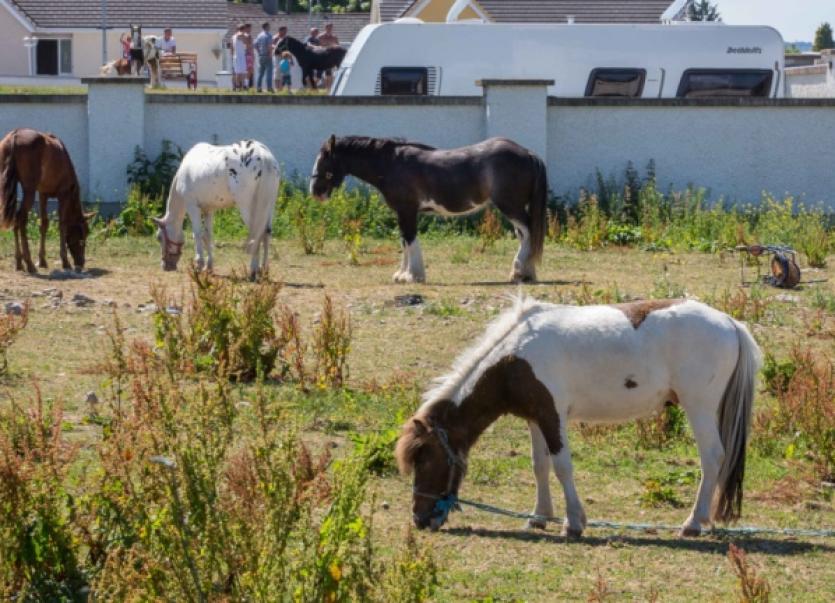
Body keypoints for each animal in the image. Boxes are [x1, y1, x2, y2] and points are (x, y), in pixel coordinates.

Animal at [0, 129, 91, 273]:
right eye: (84, 234)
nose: (81, 263)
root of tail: (15, 134)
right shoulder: (63, 195)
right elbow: (62, 224)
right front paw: (65, 261)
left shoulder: (43, 194)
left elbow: (44, 224)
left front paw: (42, 260)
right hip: (29, 190)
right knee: (21, 219)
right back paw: (29, 263)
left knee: (16, 219)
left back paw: (19, 262)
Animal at [153, 140, 279, 280]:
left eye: (159, 238)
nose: (166, 266)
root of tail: (264, 156)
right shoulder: (209, 209)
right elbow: (208, 236)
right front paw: (209, 267)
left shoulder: (192, 207)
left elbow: (197, 234)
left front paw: (199, 265)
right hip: (269, 206)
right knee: (266, 233)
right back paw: (264, 270)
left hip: (248, 207)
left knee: (256, 234)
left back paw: (253, 271)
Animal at [309, 135, 548, 283]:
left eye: (324, 160)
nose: (315, 191)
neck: (391, 164)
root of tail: (528, 153)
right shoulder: (402, 213)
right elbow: (404, 242)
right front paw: (401, 274)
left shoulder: (407, 211)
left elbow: (410, 240)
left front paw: (412, 276)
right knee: (525, 235)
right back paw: (526, 274)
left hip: (510, 206)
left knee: (528, 232)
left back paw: (519, 272)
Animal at [395, 297, 762, 538]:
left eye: (425, 459)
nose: (420, 520)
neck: (515, 358)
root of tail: (730, 323)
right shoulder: (535, 417)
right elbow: (539, 466)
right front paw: (539, 516)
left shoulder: (553, 416)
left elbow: (562, 467)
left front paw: (573, 523)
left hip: (699, 407)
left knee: (712, 458)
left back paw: (694, 523)